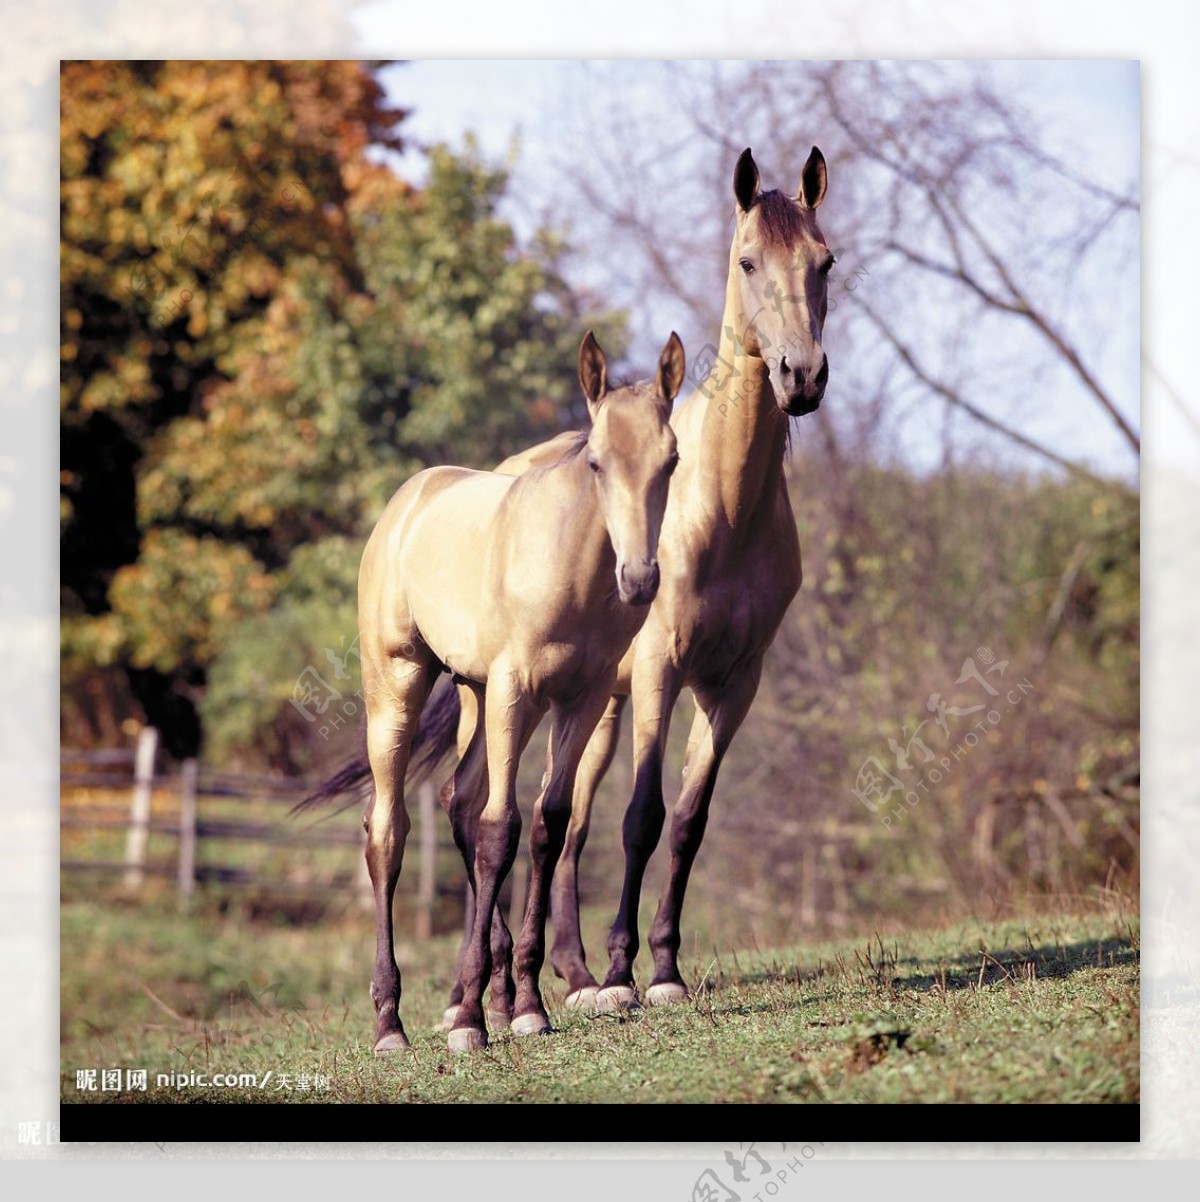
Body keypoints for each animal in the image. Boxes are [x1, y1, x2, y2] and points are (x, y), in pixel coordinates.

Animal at [315, 331, 687, 1052]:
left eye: (673, 459)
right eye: (596, 462)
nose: (639, 579)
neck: (568, 567)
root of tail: (409, 500)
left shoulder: (580, 698)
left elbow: (546, 824)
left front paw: (524, 1004)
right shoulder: (517, 692)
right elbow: (500, 831)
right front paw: (475, 1020)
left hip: (478, 693)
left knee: (459, 800)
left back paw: (481, 989)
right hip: (399, 684)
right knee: (389, 831)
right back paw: (391, 1020)